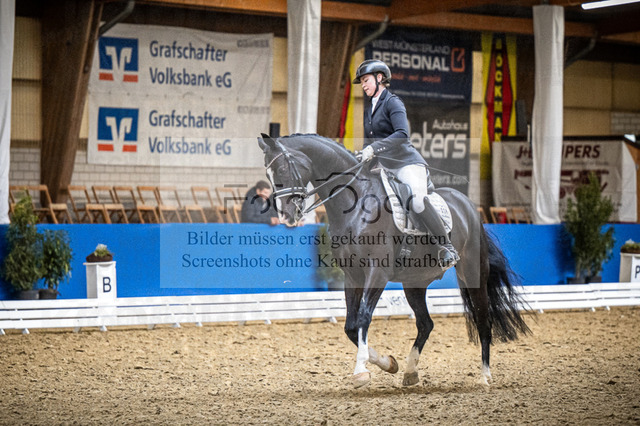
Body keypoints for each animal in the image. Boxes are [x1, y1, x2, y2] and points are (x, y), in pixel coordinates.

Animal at [258, 133, 530, 388]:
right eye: (269, 174)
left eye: (282, 169)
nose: (286, 216)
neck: (356, 204)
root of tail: (468, 204)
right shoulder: (353, 275)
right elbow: (351, 326)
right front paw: (388, 363)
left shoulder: (377, 272)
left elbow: (363, 319)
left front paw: (361, 372)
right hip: (414, 282)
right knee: (425, 324)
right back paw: (410, 372)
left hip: (473, 272)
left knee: (483, 320)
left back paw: (484, 376)